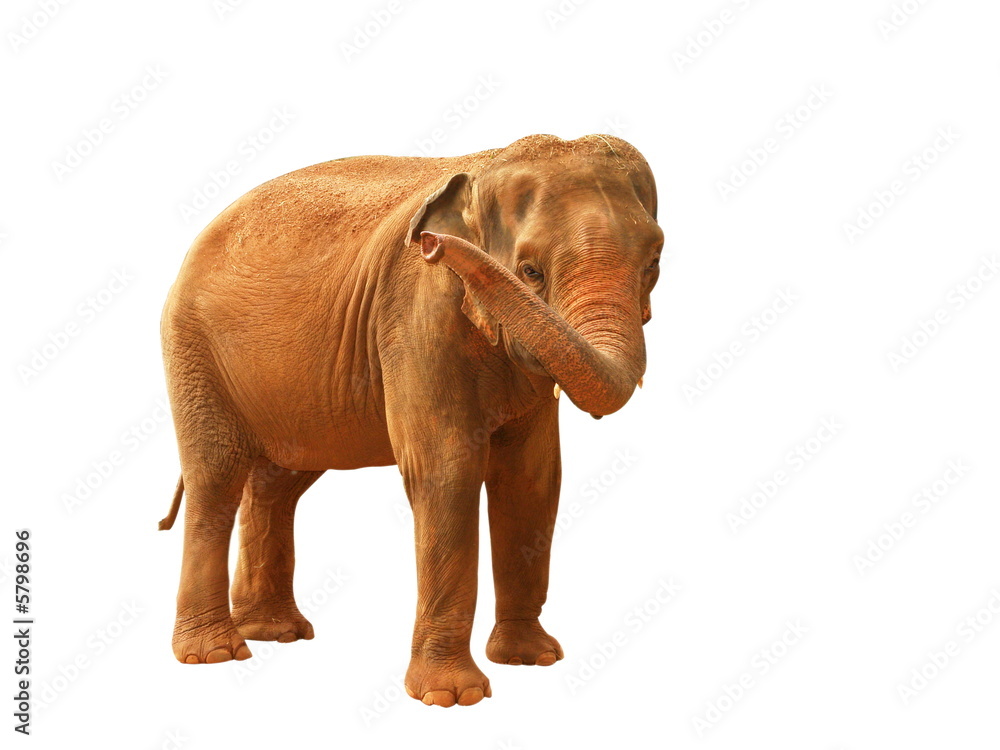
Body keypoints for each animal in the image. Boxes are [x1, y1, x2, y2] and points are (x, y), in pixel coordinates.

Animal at [158, 133, 663, 707]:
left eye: (654, 262)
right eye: (531, 271)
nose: (430, 245)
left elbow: (532, 479)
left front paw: (531, 660)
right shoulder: (416, 311)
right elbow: (446, 472)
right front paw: (453, 697)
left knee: (278, 482)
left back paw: (275, 633)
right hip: (194, 349)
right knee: (216, 477)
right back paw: (216, 653)